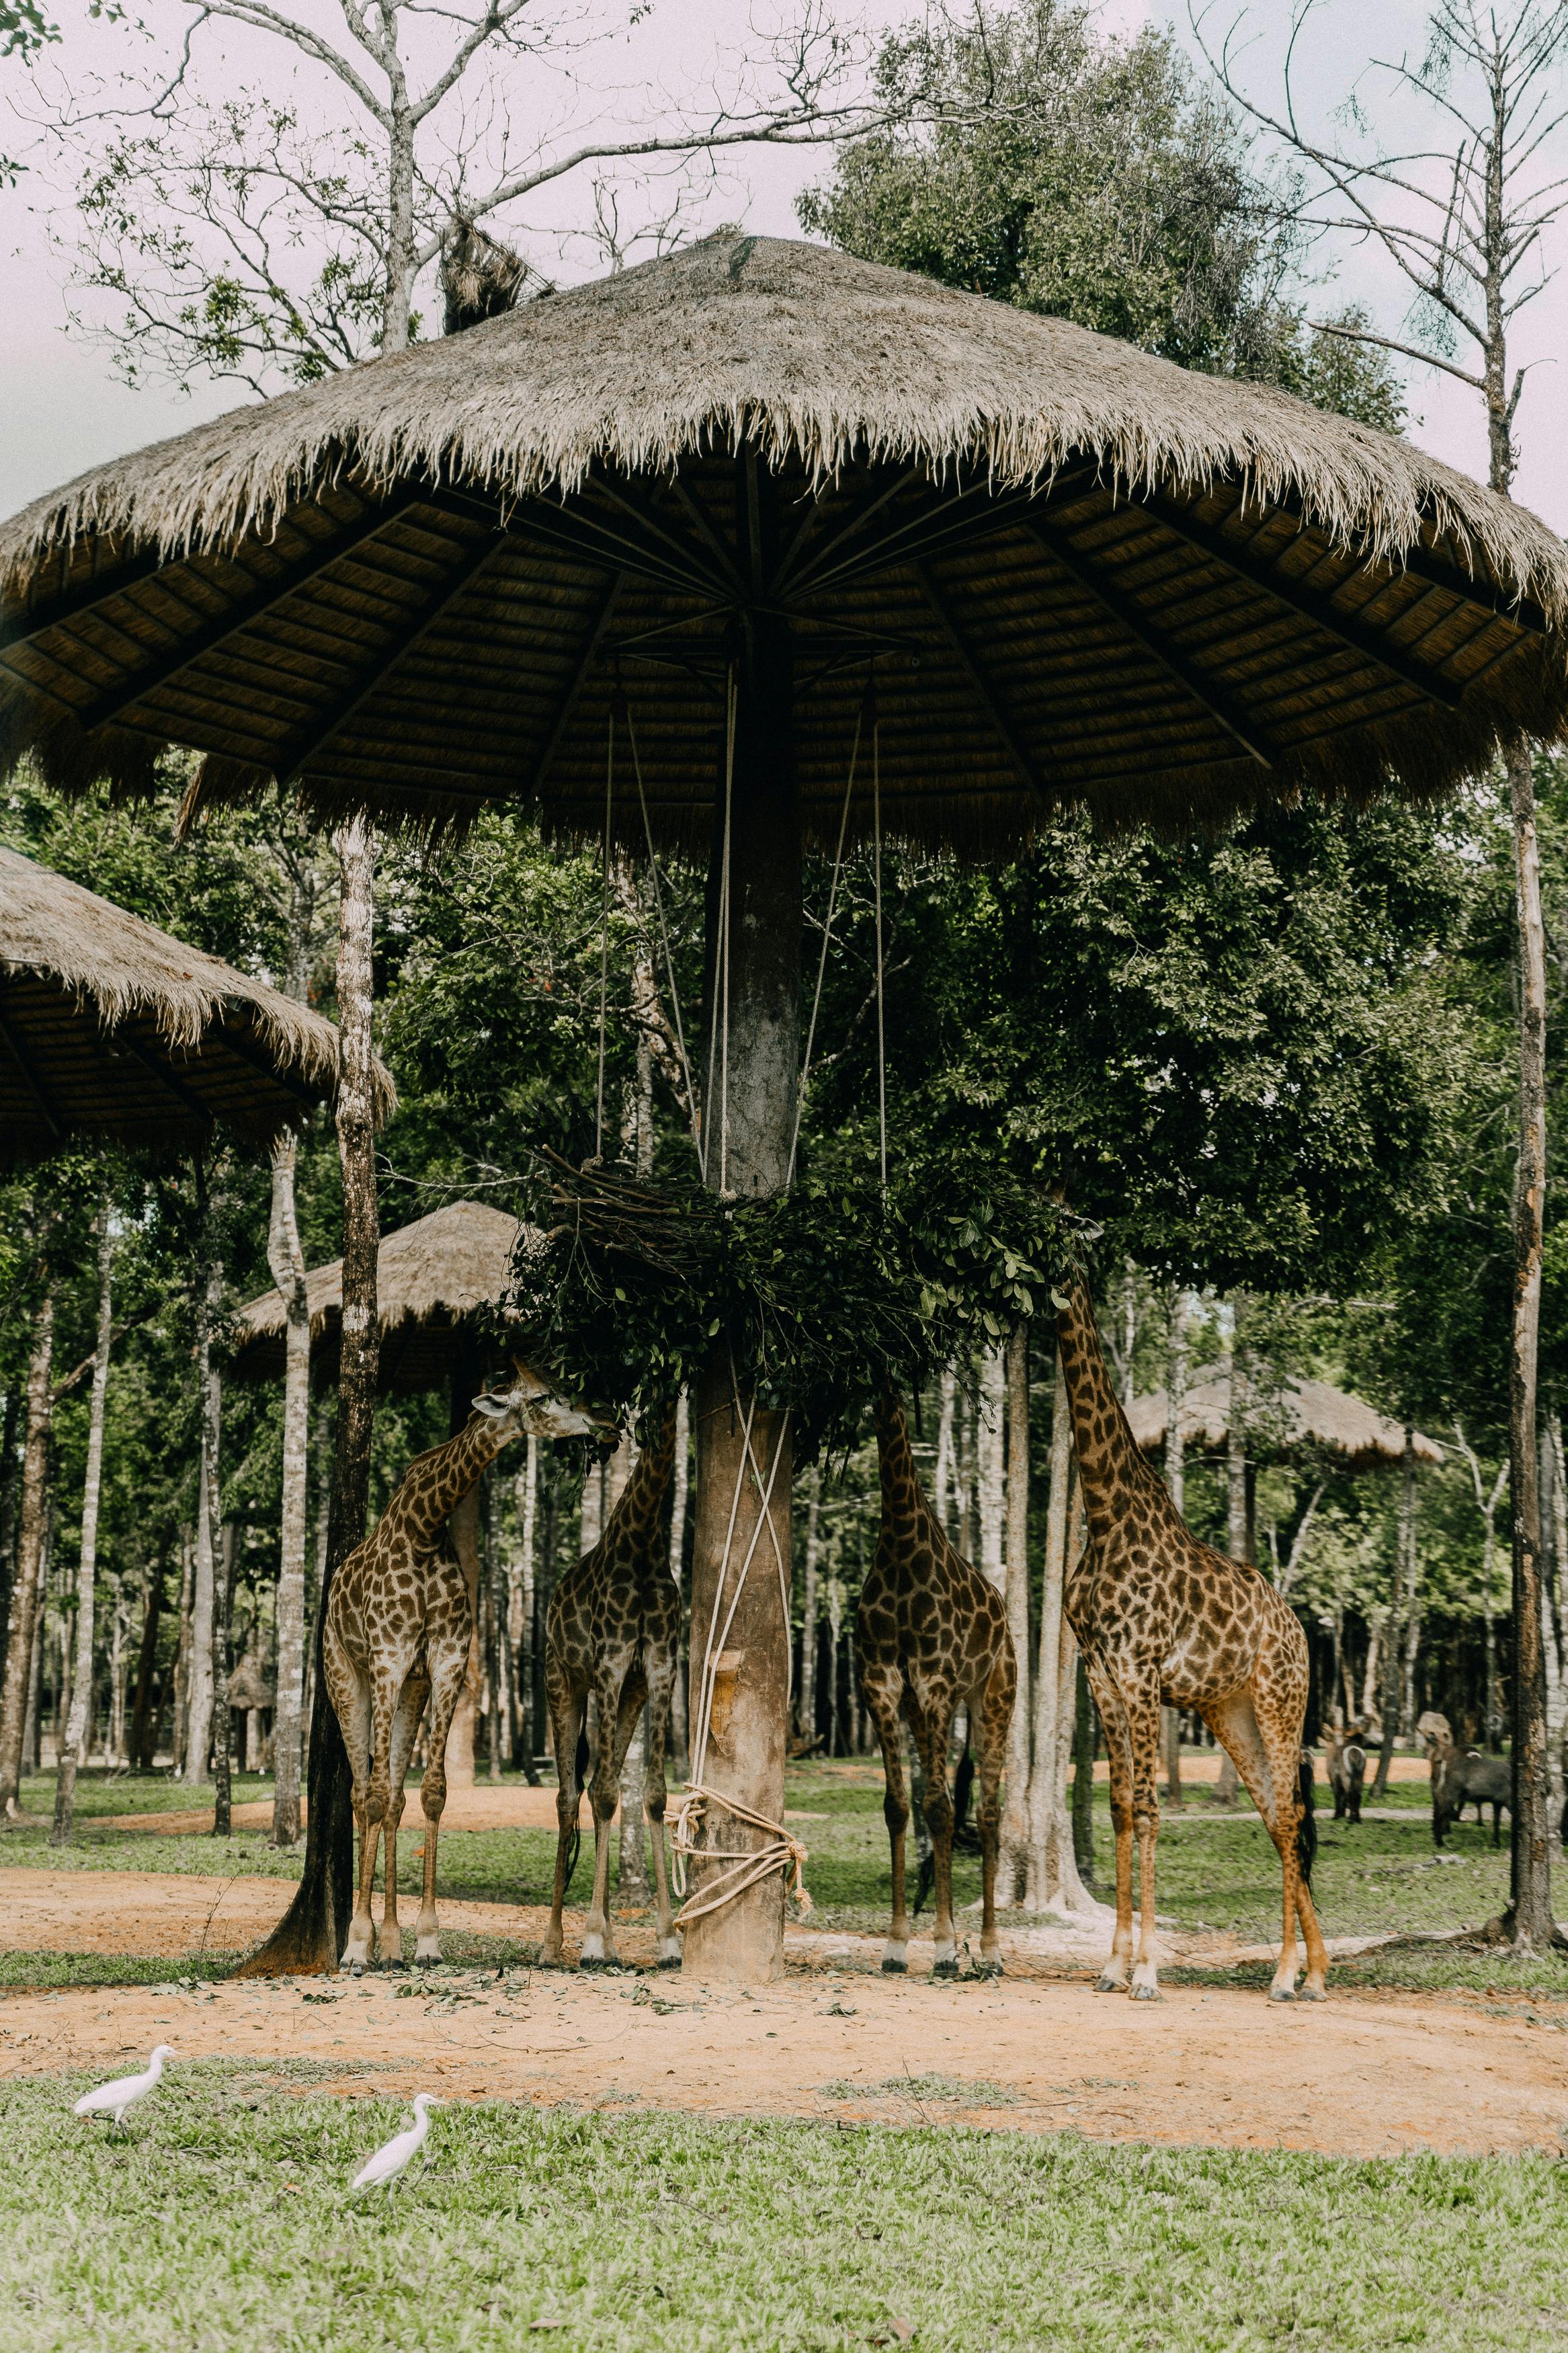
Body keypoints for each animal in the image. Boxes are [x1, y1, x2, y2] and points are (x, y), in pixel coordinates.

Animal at [324, 1365, 606, 1967]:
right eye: (543, 1397)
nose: (598, 1420)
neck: (425, 1528)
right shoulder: (387, 1656)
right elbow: (374, 1794)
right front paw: (357, 1945)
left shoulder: (447, 1658)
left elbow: (432, 1791)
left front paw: (425, 1940)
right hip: (345, 1673)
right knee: (363, 1793)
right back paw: (365, 1941)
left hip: (411, 1690)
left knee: (394, 1797)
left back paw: (392, 1940)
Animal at [860, 1393, 1020, 1986]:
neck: (901, 1543)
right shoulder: (881, 1685)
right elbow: (898, 1806)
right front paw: (895, 1945)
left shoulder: (933, 1682)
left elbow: (938, 1809)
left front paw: (947, 1948)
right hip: (929, 1706)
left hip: (993, 1695)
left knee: (989, 1813)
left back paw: (991, 1952)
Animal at [1053, 1280, 1325, 1995]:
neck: (1104, 1515)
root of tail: (1299, 1630)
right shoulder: (1101, 1675)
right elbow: (1121, 1807)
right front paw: (1111, 1967)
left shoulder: (1141, 1670)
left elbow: (1150, 1809)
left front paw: (1147, 1972)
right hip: (1230, 1712)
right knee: (1277, 1818)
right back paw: (1315, 1972)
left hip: (1279, 1701)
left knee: (1290, 1815)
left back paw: (1284, 1975)